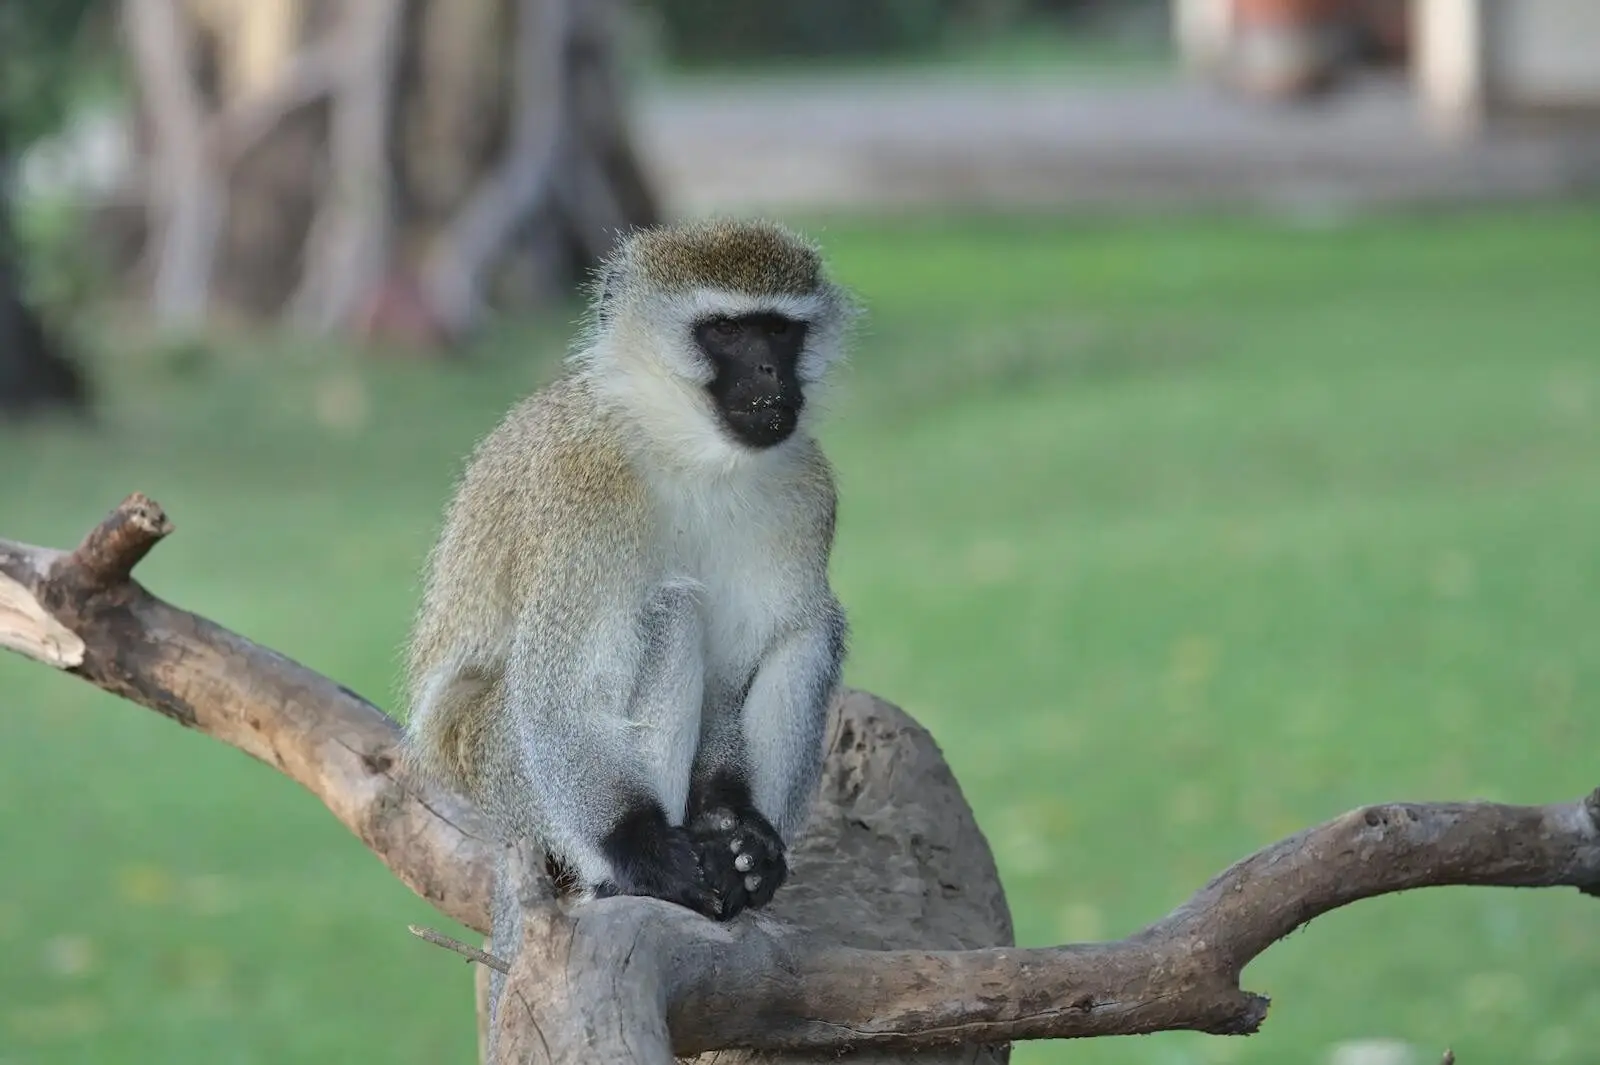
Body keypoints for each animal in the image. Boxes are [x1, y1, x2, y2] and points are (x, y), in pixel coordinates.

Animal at [399, 219, 855, 949]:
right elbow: (561, 690)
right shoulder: (584, 486)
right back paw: (618, 879)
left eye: (780, 331)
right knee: (669, 611)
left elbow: (738, 670)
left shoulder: (804, 491)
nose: (769, 372)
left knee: (810, 628)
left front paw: (738, 827)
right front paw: (641, 849)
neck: (688, 450)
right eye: (725, 332)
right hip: (505, 776)